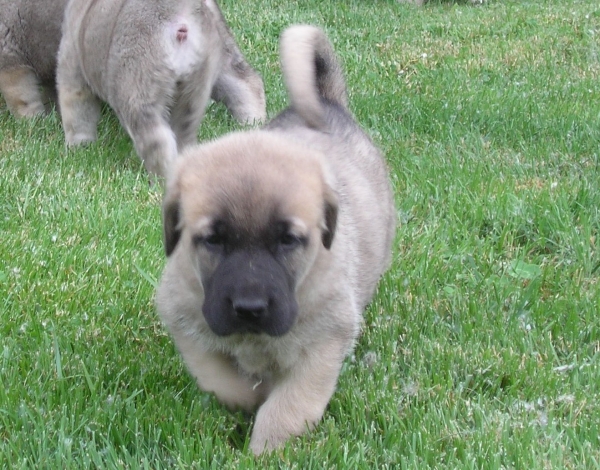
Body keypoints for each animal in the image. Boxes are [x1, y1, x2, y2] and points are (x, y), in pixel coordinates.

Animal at [57, 0, 266, 177]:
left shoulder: (71, 66)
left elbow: (77, 114)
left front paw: (78, 148)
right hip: (208, 71)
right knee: (243, 84)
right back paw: (253, 125)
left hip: (138, 88)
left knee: (157, 140)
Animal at [157, 23, 396, 454]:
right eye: (213, 240)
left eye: (287, 240)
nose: (249, 308)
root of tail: (328, 103)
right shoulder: (184, 321)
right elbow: (221, 379)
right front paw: (248, 396)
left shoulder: (324, 343)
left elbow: (288, 406)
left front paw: (264, 448)